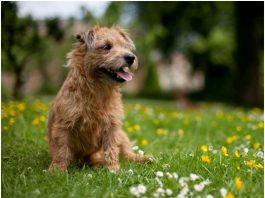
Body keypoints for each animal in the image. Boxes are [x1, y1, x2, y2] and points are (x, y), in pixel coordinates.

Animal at [46, 25, 152, 172]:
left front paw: (113, 169)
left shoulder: (112, 126)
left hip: (122, 135)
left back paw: (143, 158)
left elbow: (112, 148)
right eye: (106, 47)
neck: (98, 90)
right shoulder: (64, 125)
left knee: (127, 153)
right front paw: (57, 170)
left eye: (126, 47)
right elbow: (62, 149)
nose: (131, 57)